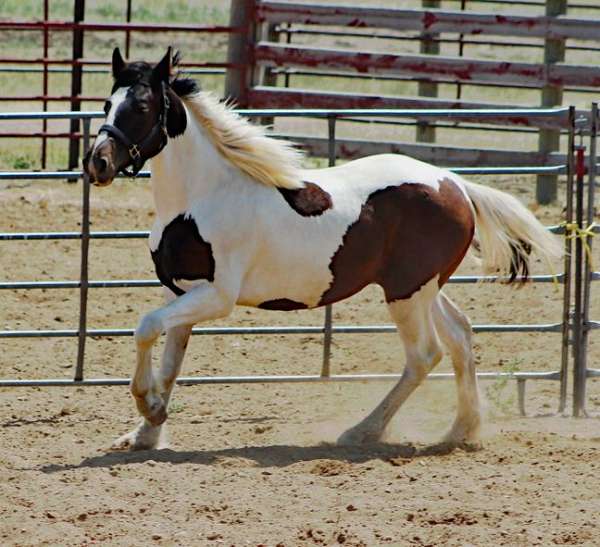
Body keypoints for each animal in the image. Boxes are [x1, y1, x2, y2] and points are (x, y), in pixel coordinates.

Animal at [84, 49, 564, 452]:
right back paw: (460, 432)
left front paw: (148, 408)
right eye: (107, 104)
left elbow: (145, 328)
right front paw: (146, 431)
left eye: (141, 107)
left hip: (406, 294)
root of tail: (457, 185)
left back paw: (362, 432)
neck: (200, 197)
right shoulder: (181, 291)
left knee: (425, 354)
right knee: (461, 335)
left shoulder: (217, 297)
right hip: (423, 288)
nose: (98, 163)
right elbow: (170, 360)